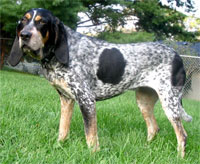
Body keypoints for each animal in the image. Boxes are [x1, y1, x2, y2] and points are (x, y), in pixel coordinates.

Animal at [8, 8, 192, 157]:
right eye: (23, 20)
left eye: (42, 22)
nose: (24, 35)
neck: (58, 55)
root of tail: (177, 55)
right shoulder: (66, 99)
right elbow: (63, 129)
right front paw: (58, 146)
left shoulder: (86, 100)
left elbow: (90, 135)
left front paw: (93, 154)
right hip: (144, 101)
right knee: (154, 128)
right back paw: (146, 149)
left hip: (169, 103)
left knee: (182, 135)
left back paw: (179, 157)